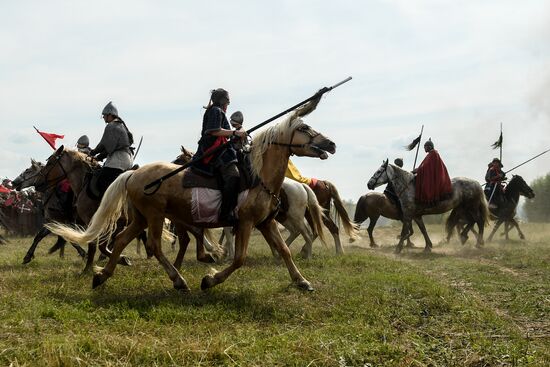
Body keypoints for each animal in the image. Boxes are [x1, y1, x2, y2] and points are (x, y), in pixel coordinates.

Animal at [47, 96, 334, 292]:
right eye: (304, 129)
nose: (330, 144)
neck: (257, 175)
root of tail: (131, 175)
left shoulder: (265, 223)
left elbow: (284, 250)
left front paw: (301, 281)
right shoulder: (245, 223)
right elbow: (239, 258)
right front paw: (210, 279)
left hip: (142, 217)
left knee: (121, 241)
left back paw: (102, 276)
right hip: (153, 215)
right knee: (151, 245)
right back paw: (177, 279)